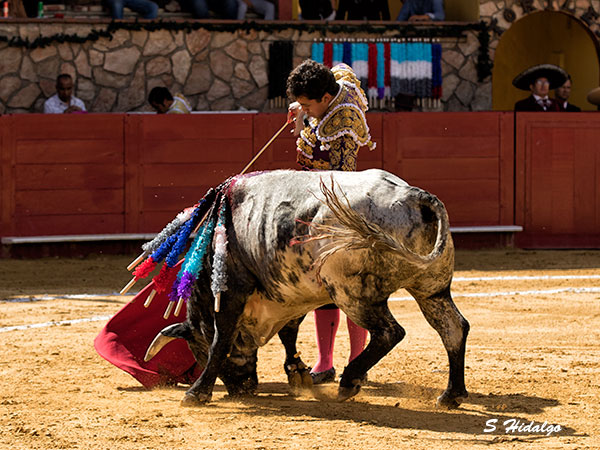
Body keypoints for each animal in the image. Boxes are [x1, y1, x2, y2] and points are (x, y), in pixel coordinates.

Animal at [144, 168, 468, 408]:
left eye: (197, 351)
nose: (242, 389)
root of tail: (413, 195)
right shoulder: (290, 292)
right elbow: (290, 333)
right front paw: (297, 373)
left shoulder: (231, 290)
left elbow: (221, 339)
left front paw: (196, 392)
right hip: (432, 289)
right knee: (453, 328)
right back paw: (451, 395)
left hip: (351, 293)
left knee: (390, 332)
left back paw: (349, 381)